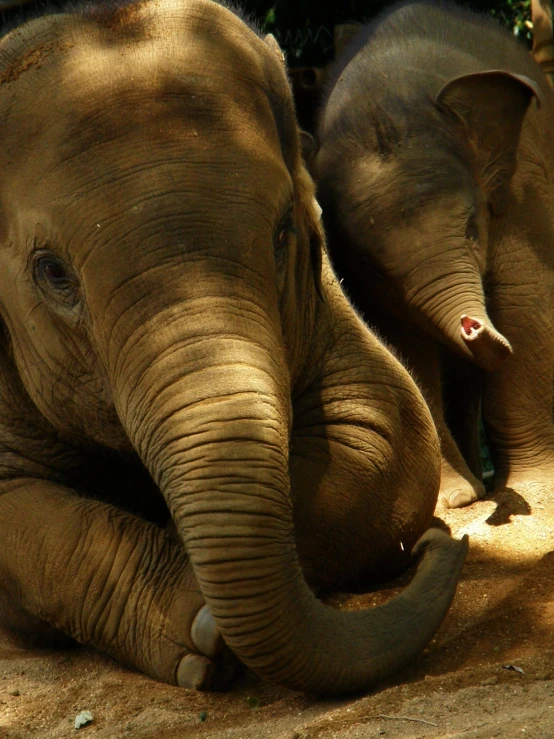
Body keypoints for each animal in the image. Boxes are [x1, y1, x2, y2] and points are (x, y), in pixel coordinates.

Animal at [310, 0, 552, 508]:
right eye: (377, 268)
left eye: (472, 231)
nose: (473, 325)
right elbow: (402, 340)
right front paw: (455, 501)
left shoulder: (524, 186)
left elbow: (523, 297)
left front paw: (532, 491)